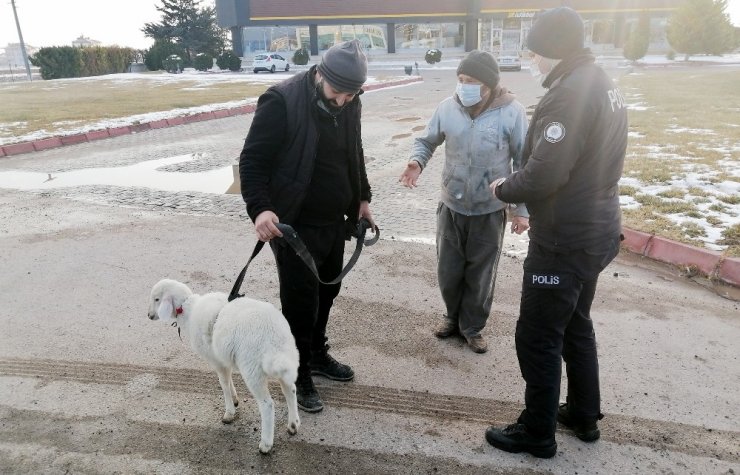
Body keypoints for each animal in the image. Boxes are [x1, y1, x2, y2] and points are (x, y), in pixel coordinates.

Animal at [146, 278, 300, 454]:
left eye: (157, 299)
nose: (149, 315)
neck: (188, 310)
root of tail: (273, 336)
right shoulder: (224, 358)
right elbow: (229, 381)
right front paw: (234, 399)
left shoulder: (216, 360)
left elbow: (224, 384)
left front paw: (229, 412)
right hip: (285, 360)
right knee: (290, 389)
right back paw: (293, 424)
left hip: (252, 369)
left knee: (267, 405)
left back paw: (266, 444)